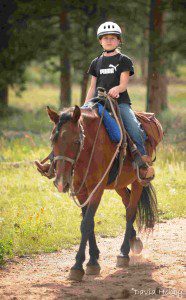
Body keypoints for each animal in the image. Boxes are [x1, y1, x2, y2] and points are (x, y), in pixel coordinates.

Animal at [47, 104, 158, 280]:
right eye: (53, 140)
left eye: (76, 141)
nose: (61, 182)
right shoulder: (81, 191)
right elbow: (88, 222)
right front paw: (93, 259)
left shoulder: (96, 189)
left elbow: (86, 223)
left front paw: (78, 265)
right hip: (119, 184)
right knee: (127, 203)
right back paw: (134, 240)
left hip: (138, 181)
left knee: (130, 211)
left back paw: (124, 253)